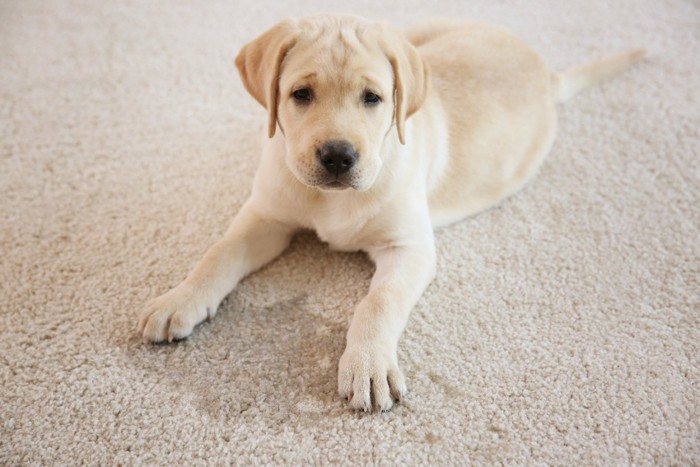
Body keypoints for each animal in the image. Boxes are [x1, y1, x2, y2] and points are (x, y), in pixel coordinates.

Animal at [138, 12, 644, 412]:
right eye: (301, 94)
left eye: (373, 98)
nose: (338, 156)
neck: (331, 200)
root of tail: (545, 71)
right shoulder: (265, 217)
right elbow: (218, 254)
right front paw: (180, 298)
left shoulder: (409, 248)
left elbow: (378, 302)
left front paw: (368, 365)